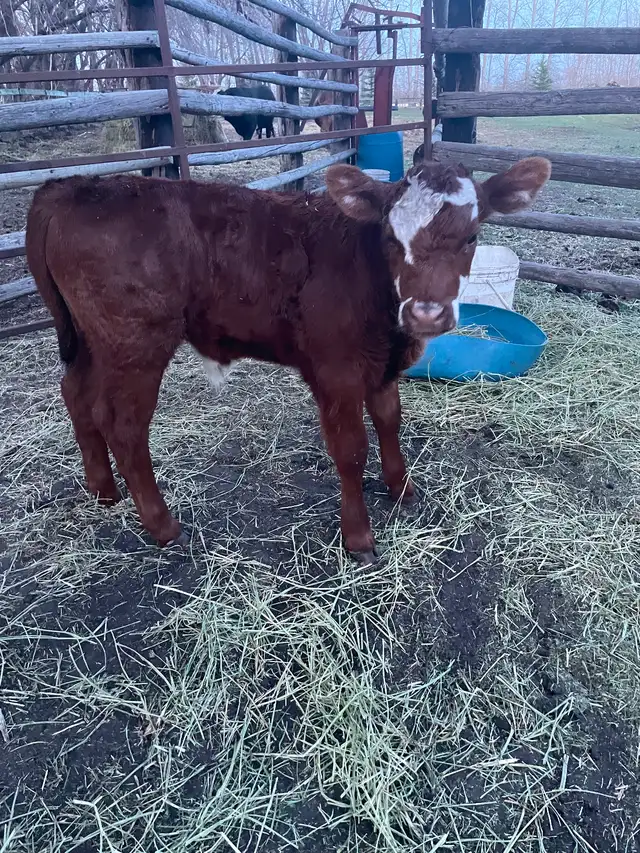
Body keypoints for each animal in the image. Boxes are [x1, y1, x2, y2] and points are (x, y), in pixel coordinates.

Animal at [26, 157, 551, 563]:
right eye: (389, 236)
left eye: (471, 236)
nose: (425, 311)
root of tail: (70, 186)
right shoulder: (335, 369)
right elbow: (351, 449)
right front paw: (358, 537)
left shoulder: (381, 365)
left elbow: (389, 421)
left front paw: (402, 489)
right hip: (136, 343)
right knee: (124, 425)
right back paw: (163, 526)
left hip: (91, 340)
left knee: (76, 394)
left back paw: (103, 491)